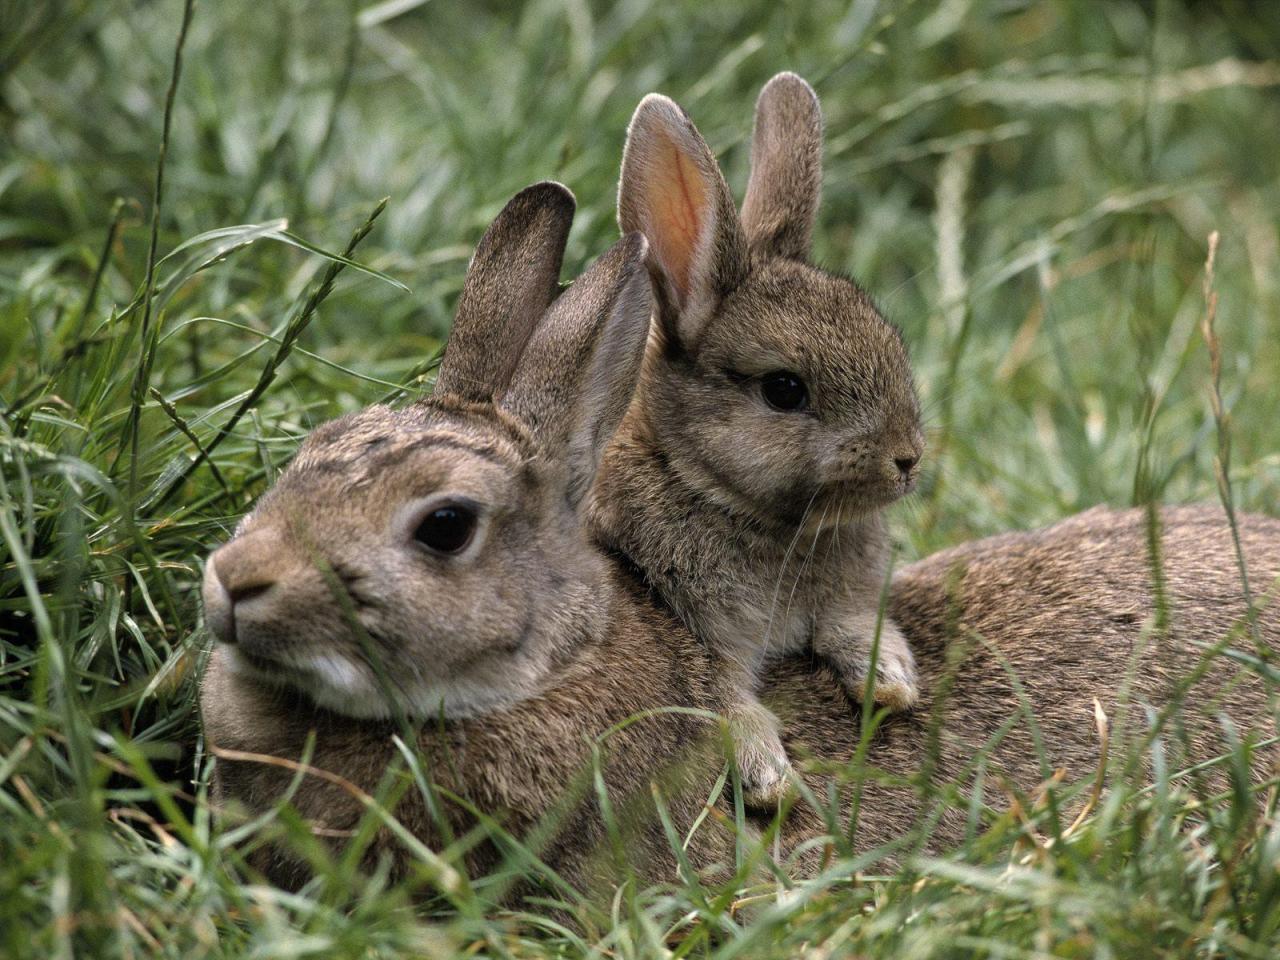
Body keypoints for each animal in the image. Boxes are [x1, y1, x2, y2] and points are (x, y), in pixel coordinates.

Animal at [588, 73, 921, 803]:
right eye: (784, 390)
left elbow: (853, 623)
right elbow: (719, 696)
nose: (907, 459)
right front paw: (769, 776)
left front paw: (891, 681)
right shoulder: (691, 628)